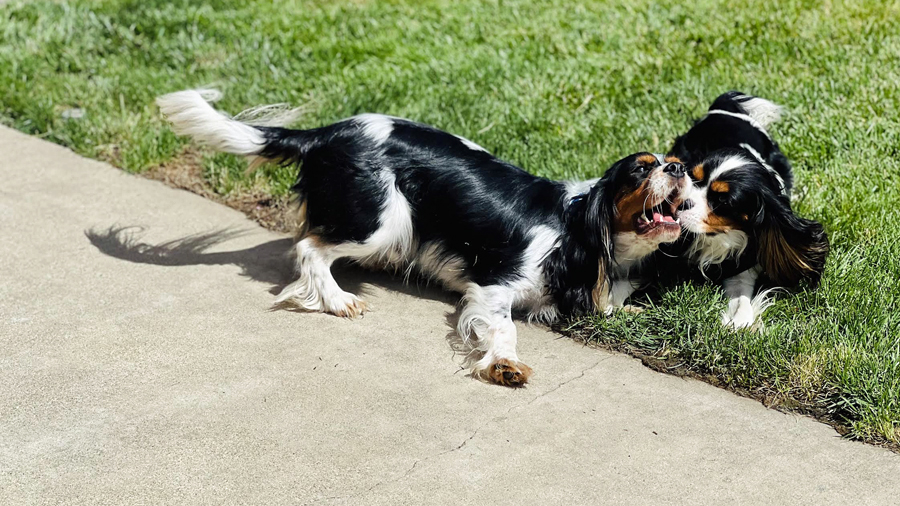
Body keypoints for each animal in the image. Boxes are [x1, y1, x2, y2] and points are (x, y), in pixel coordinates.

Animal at [660, 91, 828, 328]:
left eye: (723, 200)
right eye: (693, 177)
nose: (681, 203)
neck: (720, 237)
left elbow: (742, 301)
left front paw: (738, 323)